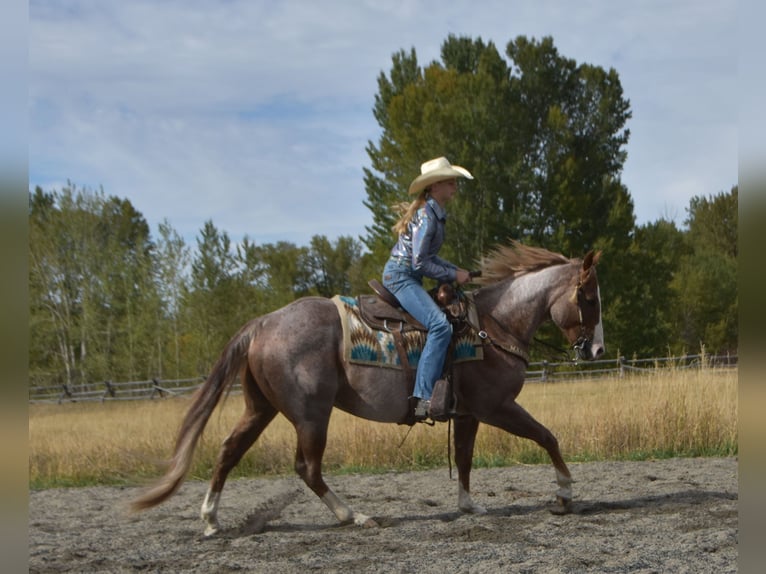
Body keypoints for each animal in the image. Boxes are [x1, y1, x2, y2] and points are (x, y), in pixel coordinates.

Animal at [131, 241, 604, 536]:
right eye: (588, 298)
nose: (596, 349)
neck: (491, 327)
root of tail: (263, 323)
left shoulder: (469, 413)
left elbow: (466, 459)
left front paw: (470, 505)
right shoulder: (497, 407)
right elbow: (547, 437)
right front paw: (564, 494)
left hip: (261, 407)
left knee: (230, 451)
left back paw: (211, 520)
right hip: (311, 415)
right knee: (307, 468)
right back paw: (353, 515)